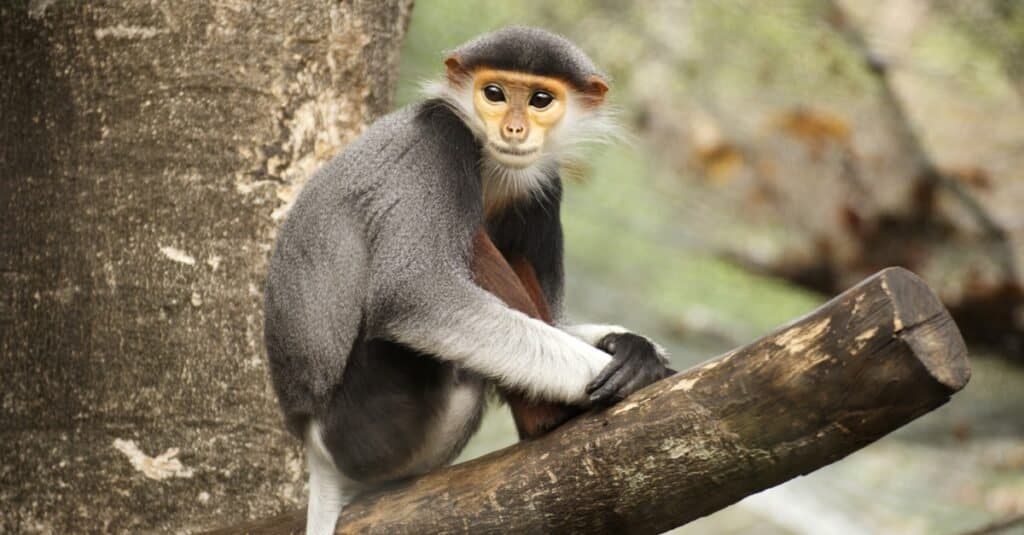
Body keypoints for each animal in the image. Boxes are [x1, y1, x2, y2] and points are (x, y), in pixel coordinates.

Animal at [264, 26, 671, 532]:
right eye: (493, 93)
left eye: (540, 100)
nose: (513, 130)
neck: (488, 162)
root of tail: (312, 444)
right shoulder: (440, 141)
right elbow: (415, 298)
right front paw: (647, 371)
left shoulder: (545, 180)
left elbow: (557, 321)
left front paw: (631, 346)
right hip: (371, 425)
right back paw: (552, 421)